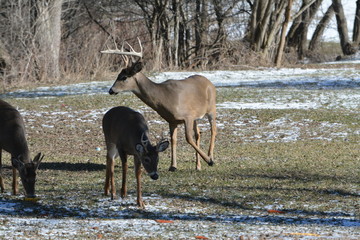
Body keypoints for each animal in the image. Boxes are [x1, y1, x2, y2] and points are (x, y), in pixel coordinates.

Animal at [101, 38, 217, 172]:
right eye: (118, 75)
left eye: (124, 77)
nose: (111, 90)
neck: (164, 97)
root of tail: (209, 82)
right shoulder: (172, 120)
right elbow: (173, 140)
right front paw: (173, 166)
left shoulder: (187, 116)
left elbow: (188, 138)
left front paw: (209, 160)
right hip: (196, 117)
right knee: (198, 133)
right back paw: (198, 166)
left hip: (211, 108)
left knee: (213, 130)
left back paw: (210, 156)